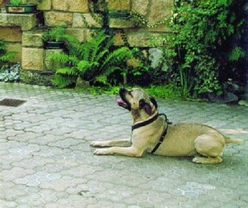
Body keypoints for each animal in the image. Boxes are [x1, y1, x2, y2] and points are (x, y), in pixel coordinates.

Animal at [90, 87, 244, 163]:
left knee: (218, 159)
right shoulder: (130, 141)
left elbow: (115, 147)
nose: (121, 87)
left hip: (200, 141)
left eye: (131, 93)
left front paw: (102, 151)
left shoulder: (135, 149)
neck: (145, 118)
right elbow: (112, 141)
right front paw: (98, 143)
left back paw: (200, 159)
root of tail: (223, 136)